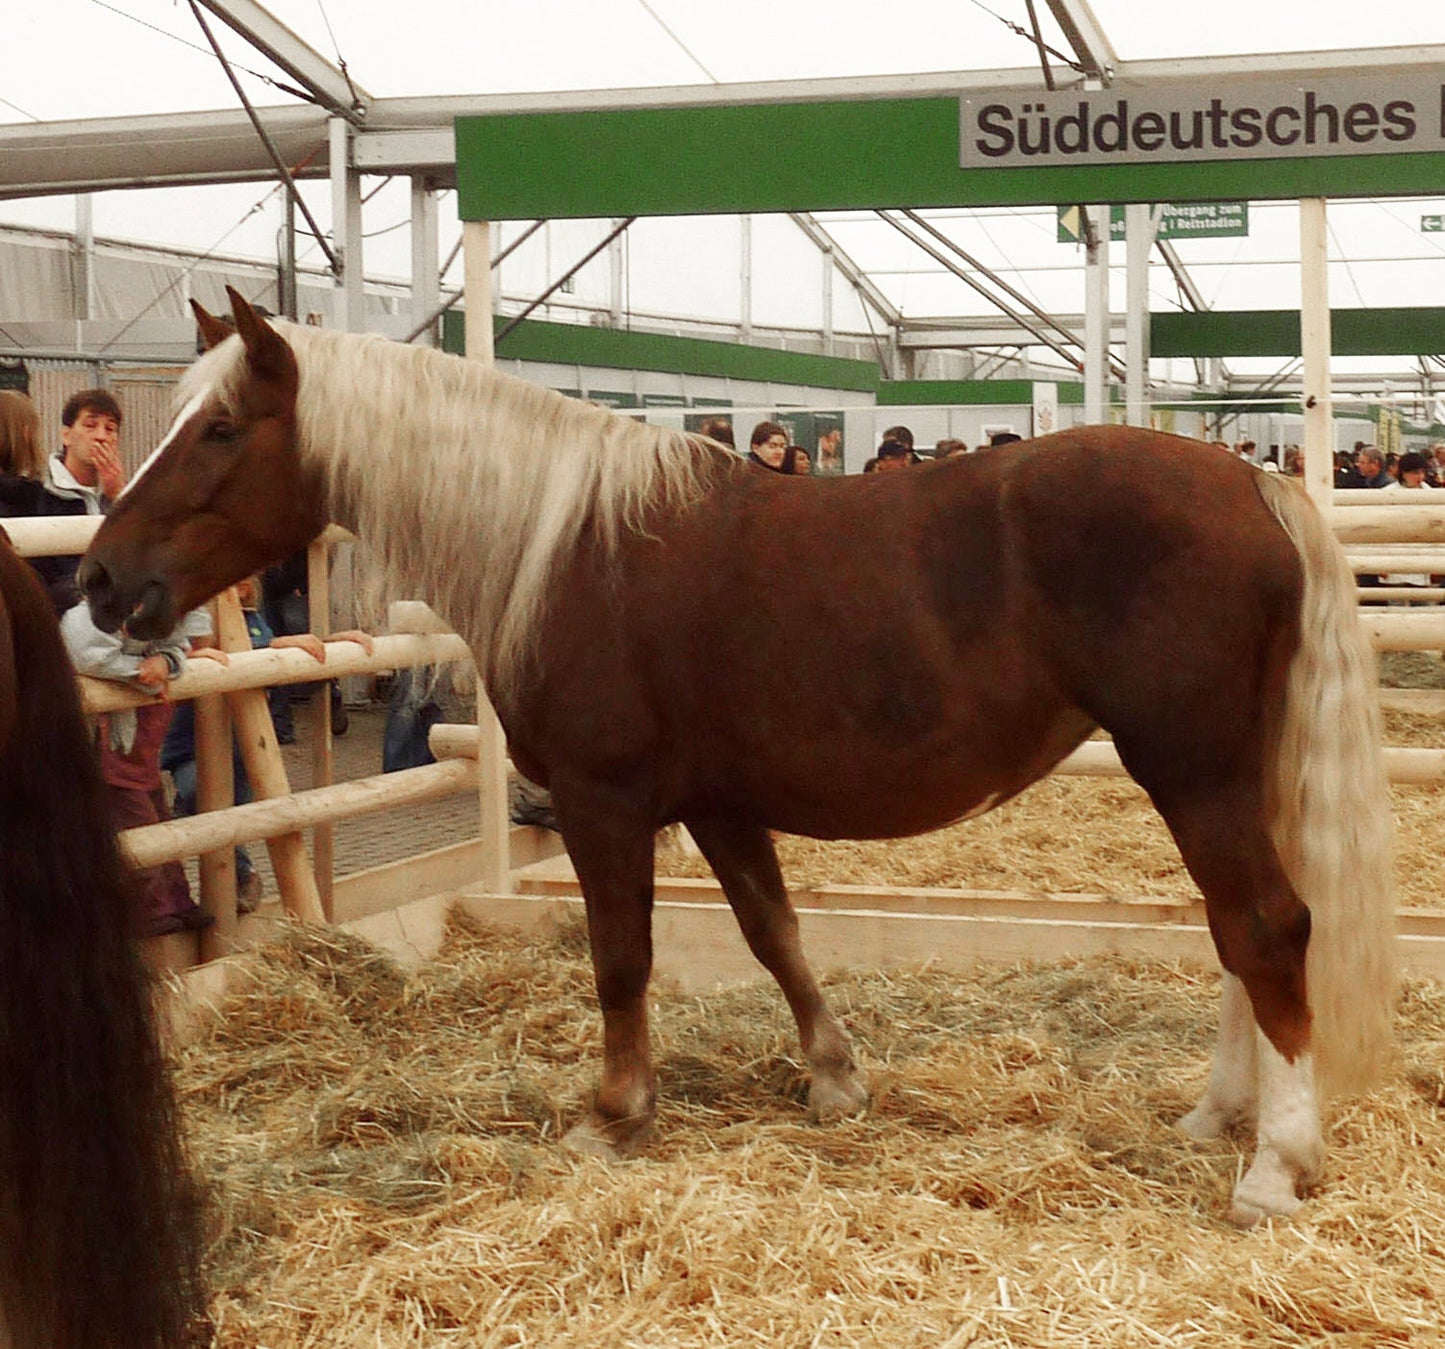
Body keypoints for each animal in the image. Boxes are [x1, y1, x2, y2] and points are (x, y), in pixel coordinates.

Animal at [76, 290, 1387, 1230]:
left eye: (221, 428)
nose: (100, 579)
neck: (567, 542)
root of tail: (1251, 482)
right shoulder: (717, 802)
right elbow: (773, 930)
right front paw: (835, 1079)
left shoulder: (606, 802)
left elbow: (621, 960)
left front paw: (615, 1112)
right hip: (1223, 775)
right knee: (1238, 937)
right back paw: (1219, 1113)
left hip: (1192, 769)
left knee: (1264, 927)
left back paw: (1273, 1163)